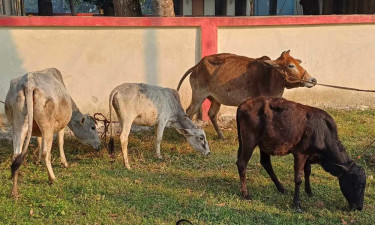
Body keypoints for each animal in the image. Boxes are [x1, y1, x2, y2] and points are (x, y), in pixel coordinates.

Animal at [5, 67, 101, 198]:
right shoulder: (61, 126)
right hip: (47, 127)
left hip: (18, 125)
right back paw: (52, 178)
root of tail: (28, 82)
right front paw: (64, 163)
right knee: (47, 153)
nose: (99, 145)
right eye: (93, 127)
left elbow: (39, 141)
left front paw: (38, 160)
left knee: (16, 155)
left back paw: (14, 192)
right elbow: (60, 142)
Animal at [178, 50, 318, 139]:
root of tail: (196, 66)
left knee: (212, 114)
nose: (313, 80)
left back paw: (222, 136)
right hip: (198, 95)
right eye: (291, 65)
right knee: (189, 111)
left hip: (216, 99)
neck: (271, 75)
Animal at [238, 97, 368, 212]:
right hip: (249, 142)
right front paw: (297, 204)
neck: (323, 132)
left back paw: (281, 188)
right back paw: (245, 194)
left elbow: (308, 172)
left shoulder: (308, 155)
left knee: (265, 163)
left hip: (262, 144)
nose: (359, 207)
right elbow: (298, 178)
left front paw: (309, 192)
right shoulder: (300, 154)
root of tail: (244, 103)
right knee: (242, 164)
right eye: (360, 185)